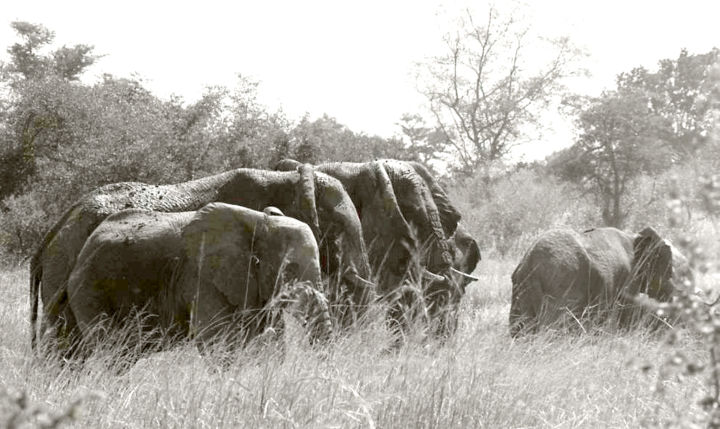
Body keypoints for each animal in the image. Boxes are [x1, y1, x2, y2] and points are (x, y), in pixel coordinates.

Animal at [64, 202, 332, 360]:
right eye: (290, 269)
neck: (261, 223)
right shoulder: (200, 276)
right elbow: (217, 341)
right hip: (90, 289)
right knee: (113, 352)